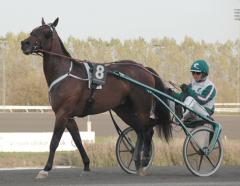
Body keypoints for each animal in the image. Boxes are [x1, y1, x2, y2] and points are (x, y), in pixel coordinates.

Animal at [20, 17, 171, 179]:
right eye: (33, 31)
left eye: (47, 33)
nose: (24, 44)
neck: (64, 74)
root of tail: (145, 69)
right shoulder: (69, 117)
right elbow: (78, 140)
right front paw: (86, 165)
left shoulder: (62, 113)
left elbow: (54, 141)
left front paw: (45, 169)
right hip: (124, 110)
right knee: (140, 131)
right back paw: (138, 161)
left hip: (141, 108)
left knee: (146, 131)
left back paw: (143, 161)